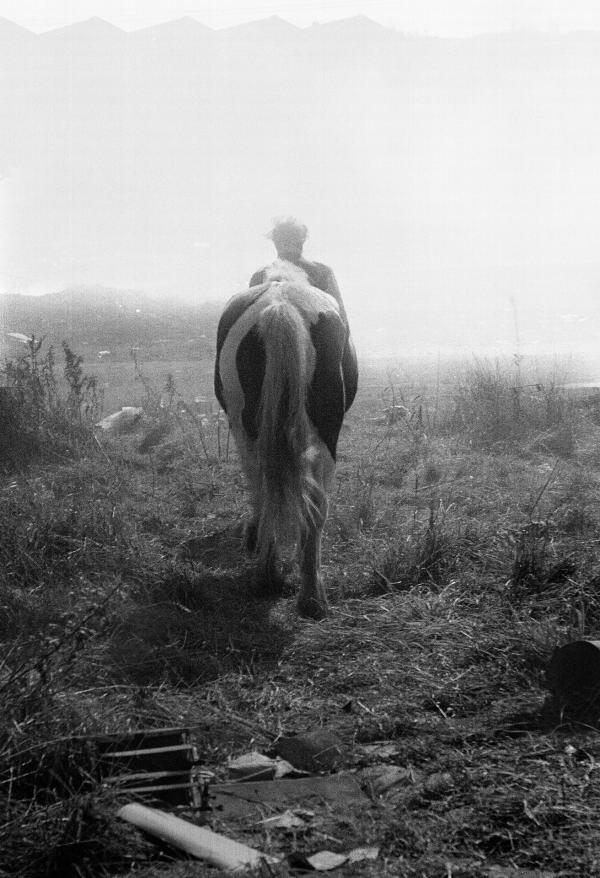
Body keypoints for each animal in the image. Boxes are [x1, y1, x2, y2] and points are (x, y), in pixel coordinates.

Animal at [214, 262, 356, 620]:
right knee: (313, 504)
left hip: (249, 431)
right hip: (324, 437)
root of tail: (281, 308)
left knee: (268, 489)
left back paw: (270, 575)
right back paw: (309, 594)